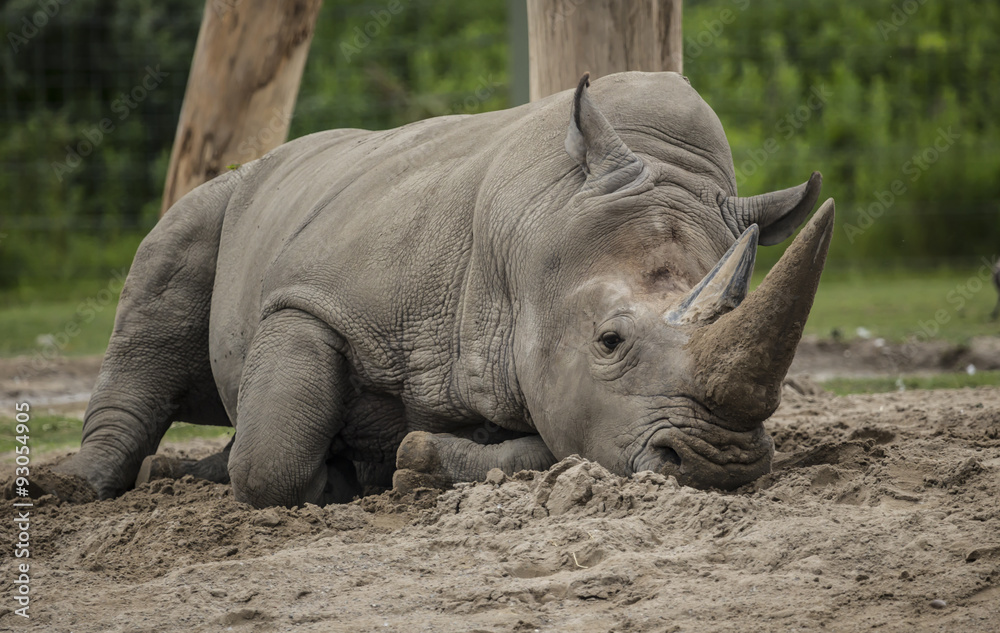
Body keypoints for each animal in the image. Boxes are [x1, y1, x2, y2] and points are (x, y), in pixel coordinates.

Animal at [38, 71, 834, 508]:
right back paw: (81, 487)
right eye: (609, 341)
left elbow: (554, 444)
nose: (717, 465)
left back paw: (178, 474)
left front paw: (413, 465)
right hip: (234, 192)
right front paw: (333, 479)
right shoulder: (315, 298)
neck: (534, 231)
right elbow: (271, 464)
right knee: (163, 282)